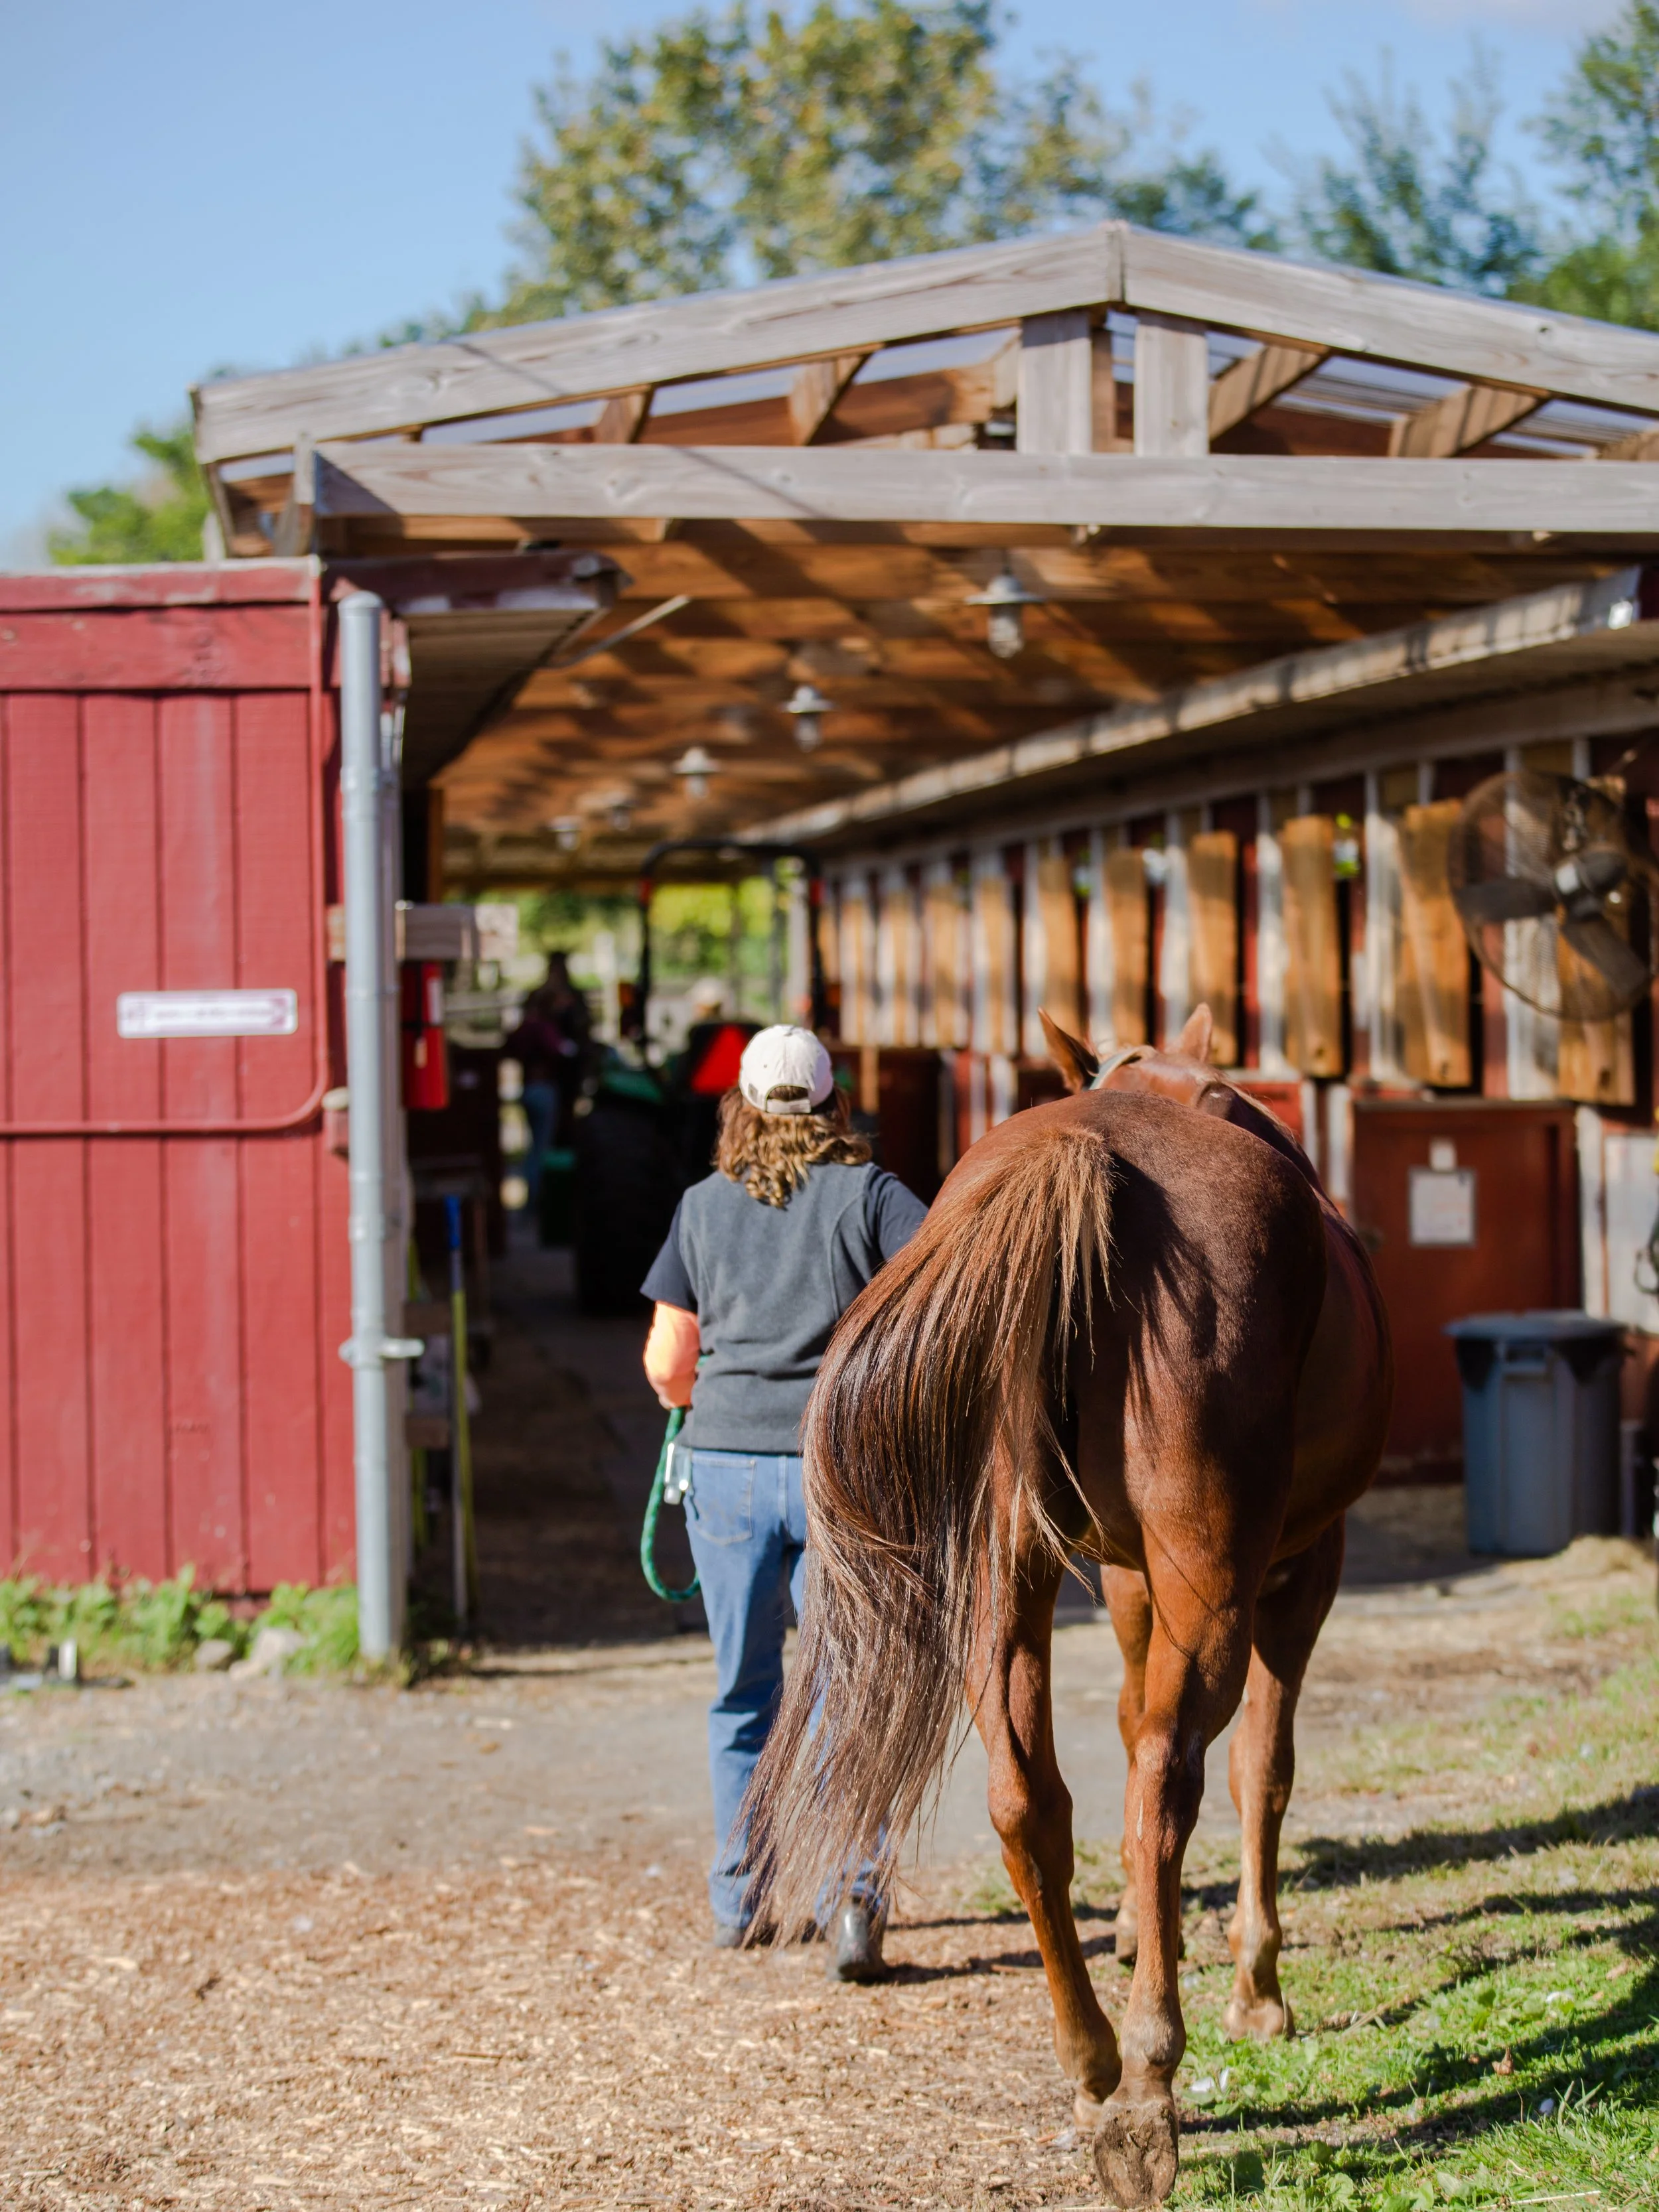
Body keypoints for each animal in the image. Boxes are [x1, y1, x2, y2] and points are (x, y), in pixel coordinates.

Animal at [746, 1004, 1392, 2208]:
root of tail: (1085, 1157)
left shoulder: (1133, 1580)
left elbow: (1135, 1730)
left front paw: (1144, 1936)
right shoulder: (1297, 1569)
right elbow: (1262, 1772)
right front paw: (1257, 1988)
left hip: (1009, 1580)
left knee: (1031, 1801)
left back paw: (1095, 2064)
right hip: (1218, 1585)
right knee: (1164, 1787)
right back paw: (1148, 2084)